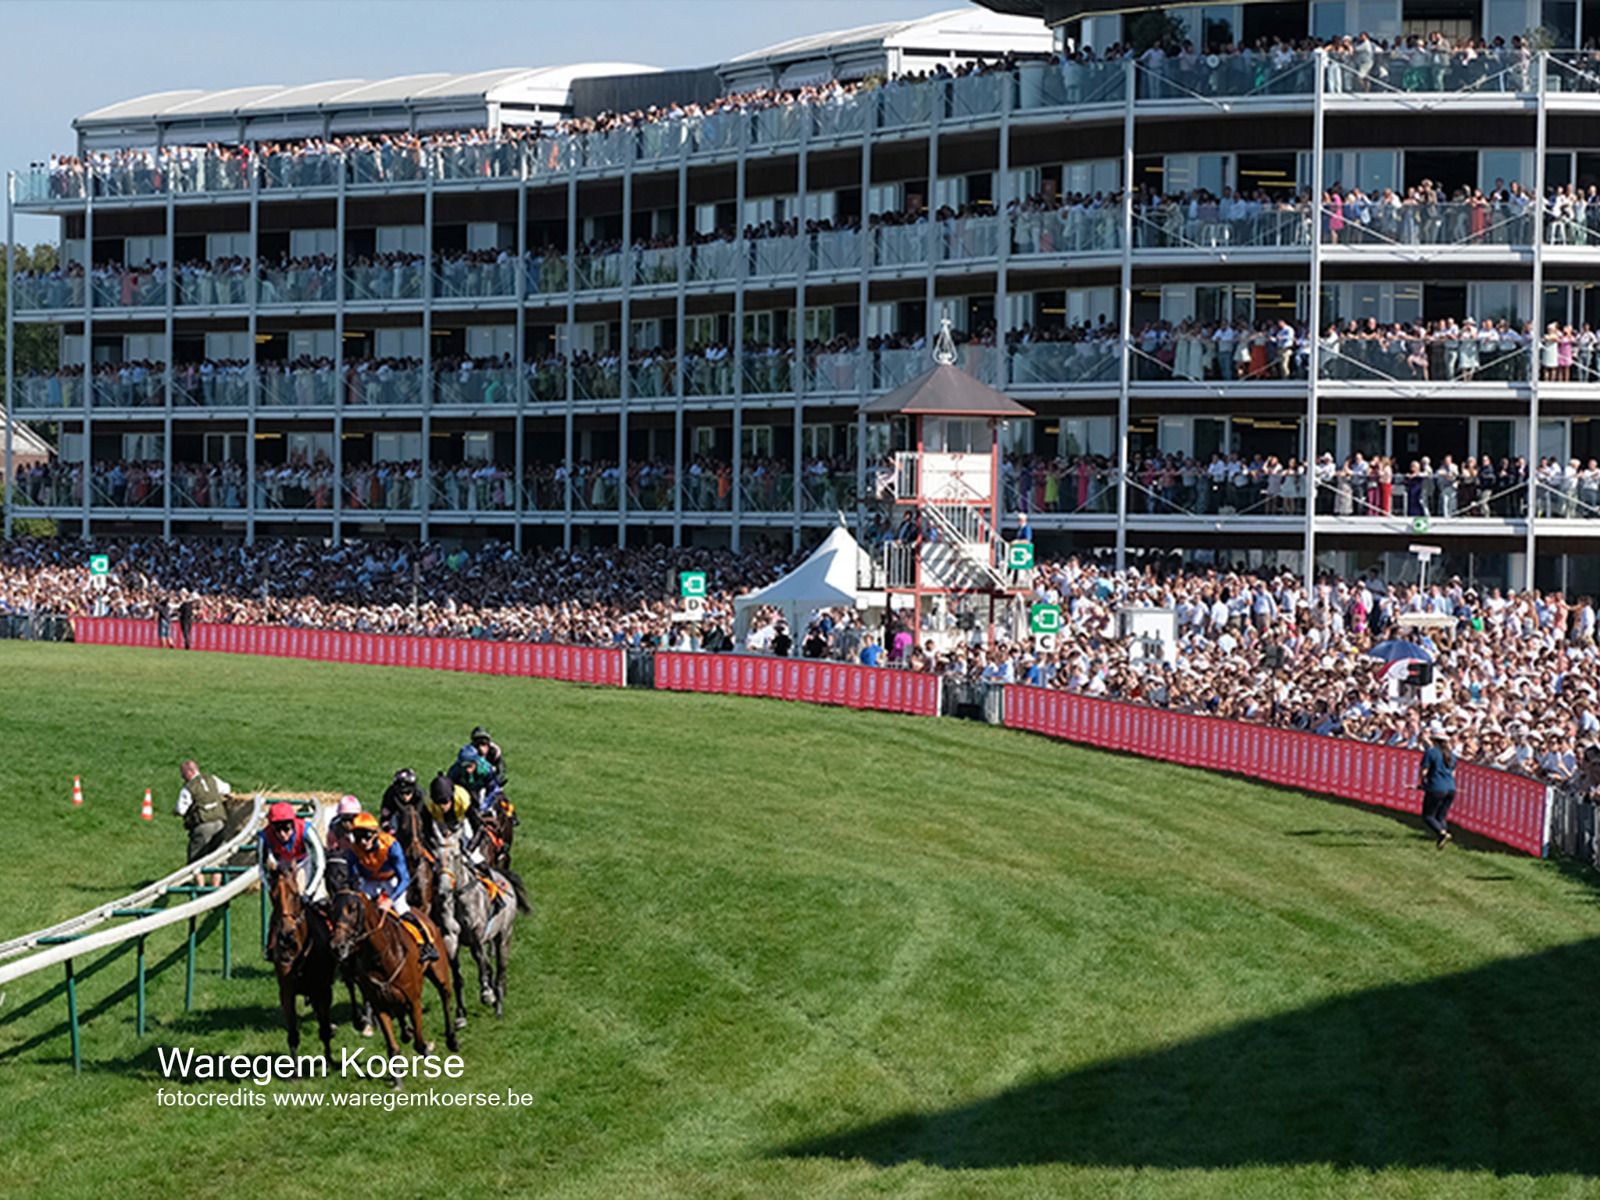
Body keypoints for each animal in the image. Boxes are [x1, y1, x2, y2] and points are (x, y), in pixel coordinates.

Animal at [264, 870, 336, 1068]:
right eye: (273, 896)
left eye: (296, 895)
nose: (286, 936)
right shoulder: (286, 992)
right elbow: (293, 1034)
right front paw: (295, 1070)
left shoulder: (323, 990)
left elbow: (324, 1026)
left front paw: (329, 1061)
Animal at [328, 883, 457, 1081]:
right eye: (332, 911)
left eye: (353, 909)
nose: (337, 946)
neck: (381, 955)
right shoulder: (378, 1000)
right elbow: (391, 1045)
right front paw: (397, 1078)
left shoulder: (414, 998)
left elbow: (420, 1042)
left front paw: (426, 1051)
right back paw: (406, 1032)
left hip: (439, 969)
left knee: (445, 996)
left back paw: (451, 1038)